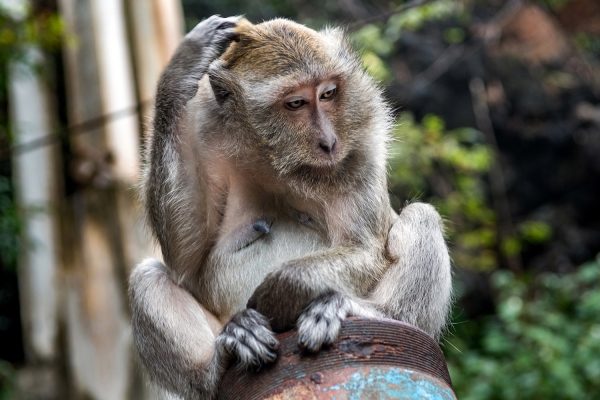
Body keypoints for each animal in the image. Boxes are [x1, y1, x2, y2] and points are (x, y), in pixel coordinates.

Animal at [130, 15, 450, 400]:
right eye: (296, 103)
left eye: (327, 94)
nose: (329, 142)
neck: (277, 159)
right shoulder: (205, 127)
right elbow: (185, 262)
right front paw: (182, 69)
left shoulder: (363, 142)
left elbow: (363, 248)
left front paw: (278, 294)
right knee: (149, 278)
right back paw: (218, 362)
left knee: (422, 217)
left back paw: (368, 311)